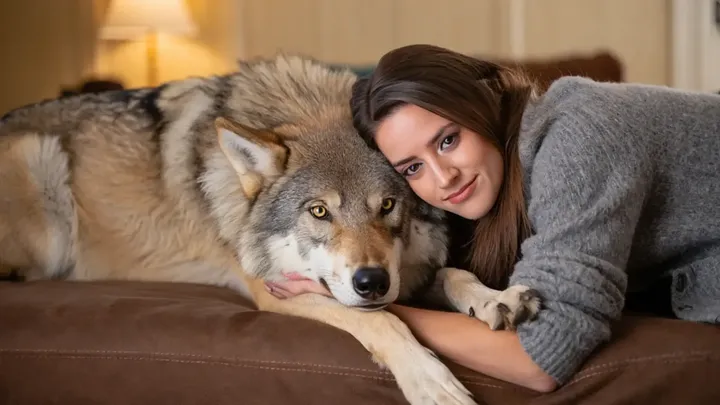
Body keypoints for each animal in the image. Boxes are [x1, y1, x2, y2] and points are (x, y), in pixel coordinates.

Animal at [0, 54, 540, 405]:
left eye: (388, 205)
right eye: (318, 212)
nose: (372, 282)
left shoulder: (409, 270)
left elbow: (454, 275)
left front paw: (495, 298)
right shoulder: (276, 291)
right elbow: (383, 320)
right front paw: (429, 379)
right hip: (41, 172)